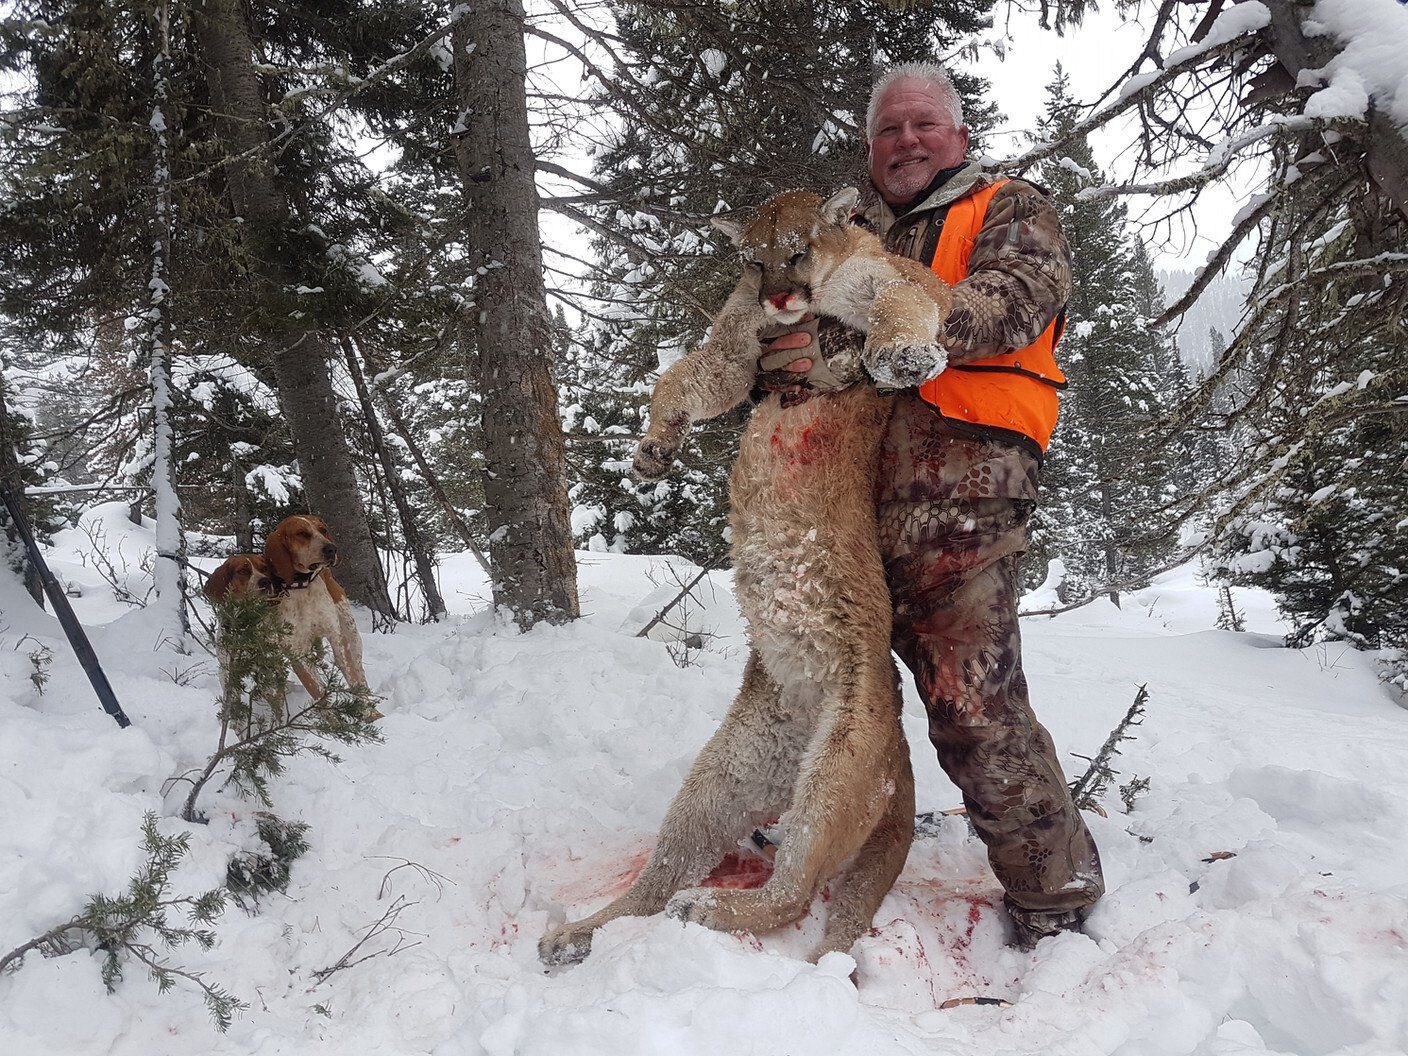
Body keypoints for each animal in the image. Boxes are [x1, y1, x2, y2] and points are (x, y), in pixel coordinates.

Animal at [539, 188, 954, 971]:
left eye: (796, 250)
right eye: (754, 260)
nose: (781, 295)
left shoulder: (879, 284)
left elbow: (903, 304)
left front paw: (901, 353)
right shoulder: (737, 345)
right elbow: (681, 376)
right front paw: (653, 448)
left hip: (838, 769)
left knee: (791, 893)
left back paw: (706, 907)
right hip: (723, 778)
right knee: (655, 881)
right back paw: (580, 934)